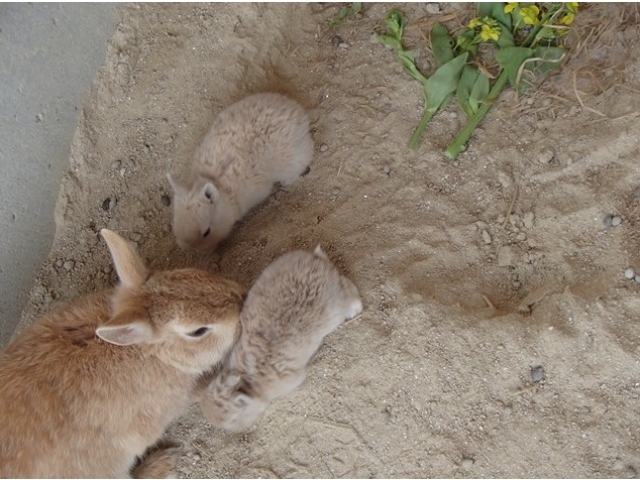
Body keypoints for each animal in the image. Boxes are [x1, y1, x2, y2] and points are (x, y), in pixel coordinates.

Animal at [198, 248, 362, 432]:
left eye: (233, 419)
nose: (238, 429)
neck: (250, 381)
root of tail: (317, 262)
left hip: (336, 307)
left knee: (349, 291)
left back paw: (355, 310)